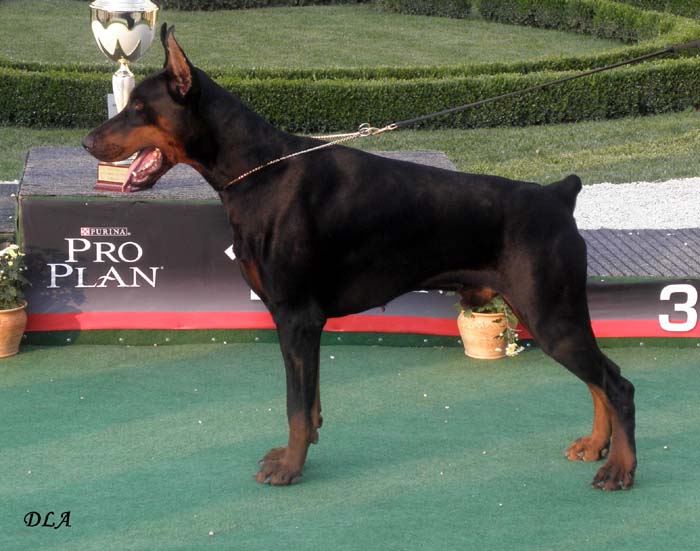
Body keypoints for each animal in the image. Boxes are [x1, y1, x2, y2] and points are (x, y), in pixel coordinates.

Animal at [83, 24, 637, 490]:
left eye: (138, 108)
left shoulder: (297, 316)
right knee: (600, 380)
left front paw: (290, 467)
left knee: (617, 384)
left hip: (549, 313)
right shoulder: (301, 322)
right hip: (549, 313)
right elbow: (310, 403)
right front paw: (300, 451)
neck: (259, 171)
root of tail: (559, 194)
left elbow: (295, 405)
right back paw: (595, 446)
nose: (87, 141)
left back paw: (620, 469)